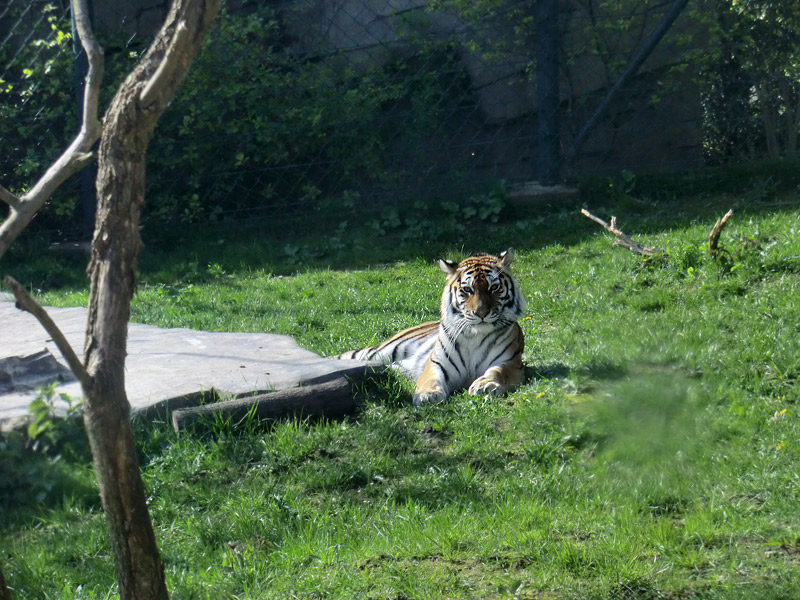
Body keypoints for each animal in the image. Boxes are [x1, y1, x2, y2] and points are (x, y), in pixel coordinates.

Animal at [332, 246, 524, 406]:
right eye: (468, 290)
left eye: (494, 288)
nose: (481, 313)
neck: (475, 335)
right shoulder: (437, 362)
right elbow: (431, 378)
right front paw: (428, 395)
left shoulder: (511, 362)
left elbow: (497, 372)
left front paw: (485, 384)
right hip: (378, 352)